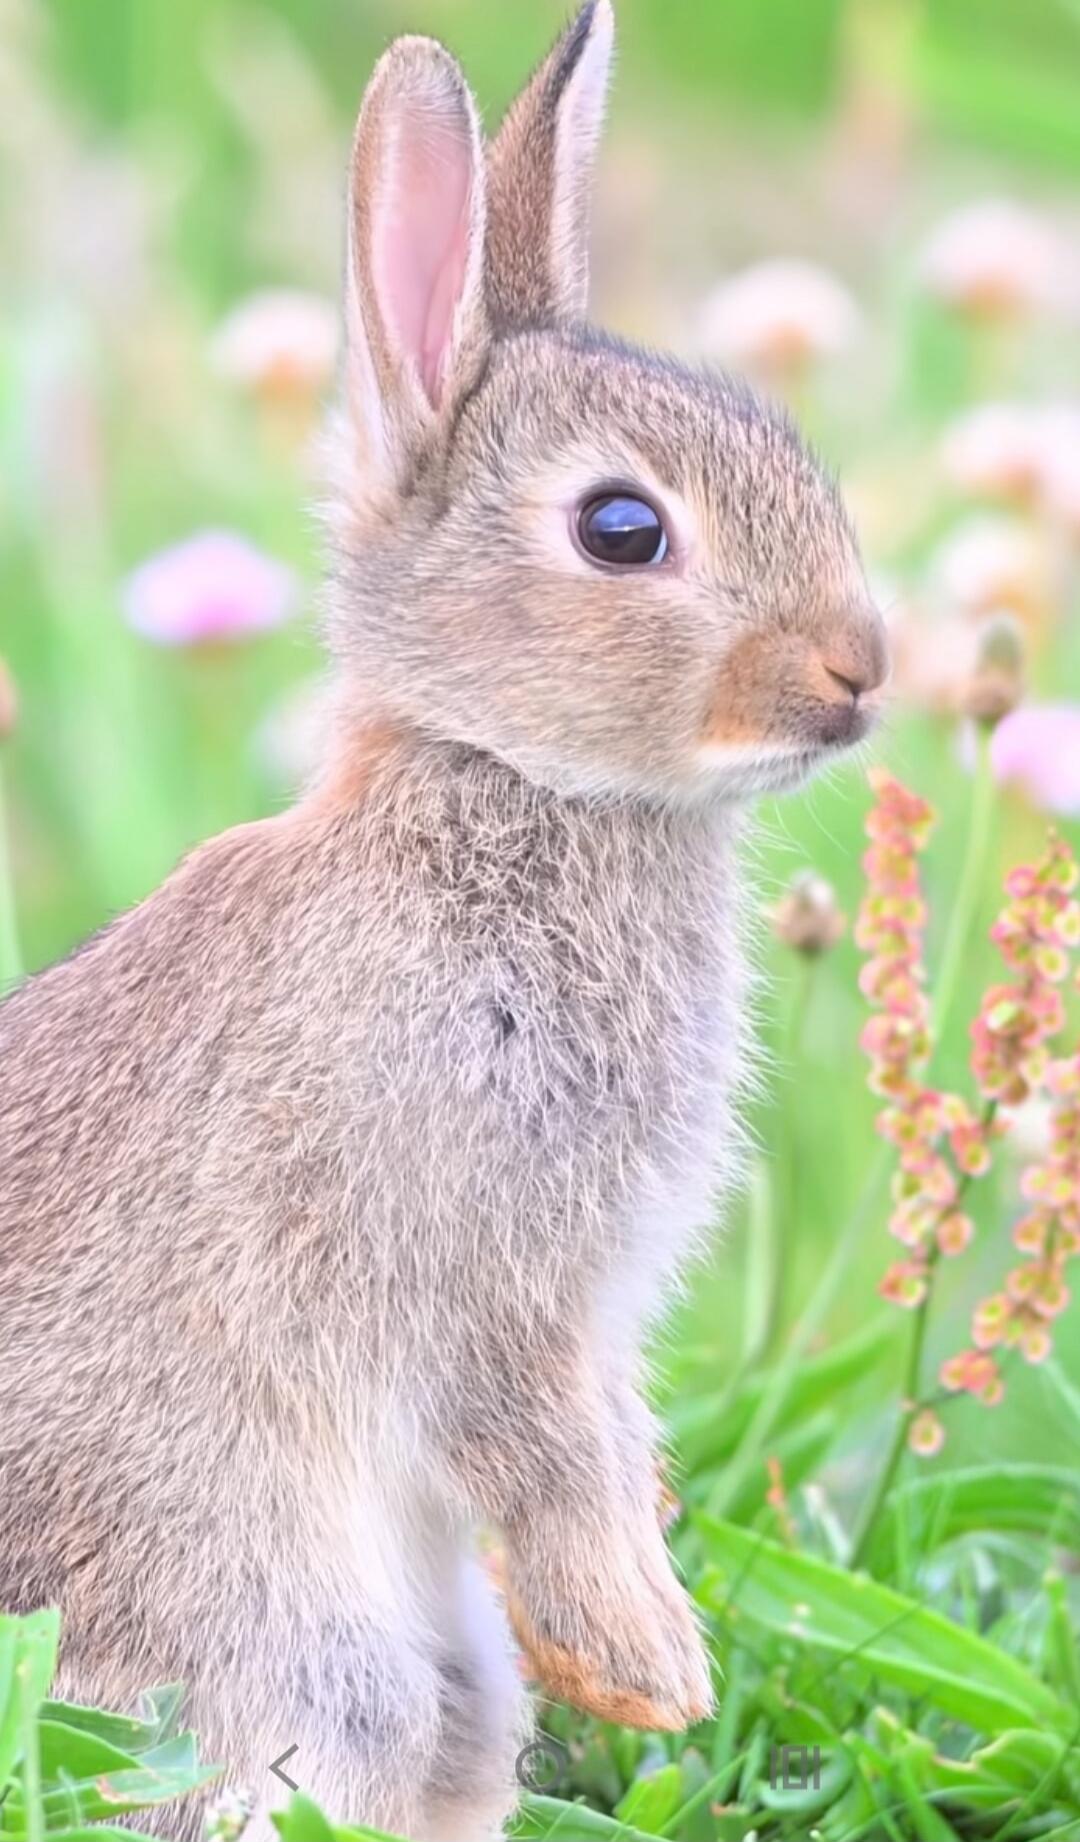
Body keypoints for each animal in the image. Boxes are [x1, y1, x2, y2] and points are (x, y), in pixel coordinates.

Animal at [0, 3, 888, 1839]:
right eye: (622, 528)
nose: (862, 669)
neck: (510, 783)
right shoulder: (463, 1256)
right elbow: (542, 1441)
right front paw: (650, 1664)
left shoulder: (586, 1304)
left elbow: (605, 1433)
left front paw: (639, 1657)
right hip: (302, 1644)